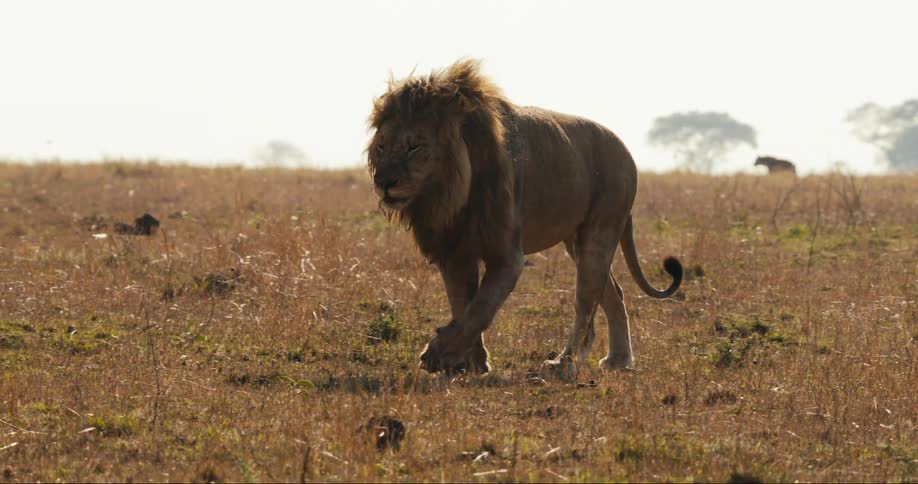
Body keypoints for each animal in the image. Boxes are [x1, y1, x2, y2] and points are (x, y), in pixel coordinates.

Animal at [367, 59, 682, 375]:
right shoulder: (455, 250)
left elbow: (479, 309)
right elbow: (463, 305)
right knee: (613, 295)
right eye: (381, 146)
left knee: (585, 304)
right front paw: (473, 362)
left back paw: (563, 362)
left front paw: (437, 356)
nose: (383, 182)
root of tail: (626, 150)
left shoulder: (507, 255)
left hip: (600, 231)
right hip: (577, 242)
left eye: (414, 147)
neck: (447, 196)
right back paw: (618, 360)